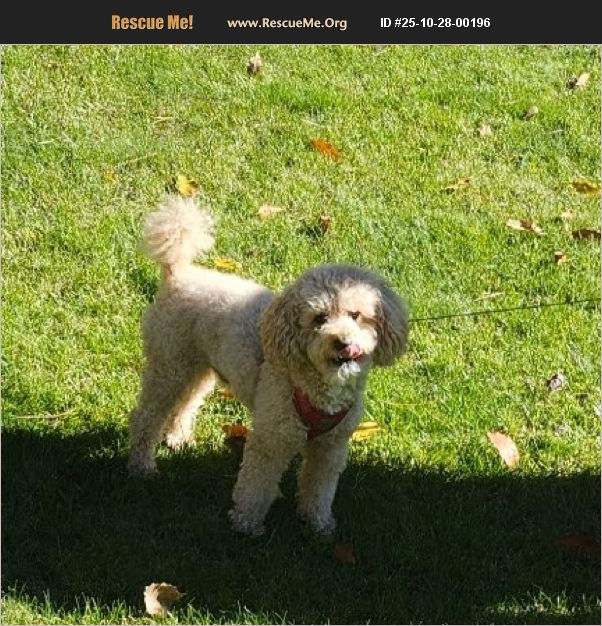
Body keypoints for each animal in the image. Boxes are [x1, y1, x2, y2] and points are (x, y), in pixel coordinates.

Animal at [128, 195, 409, 536]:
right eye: (319, 319)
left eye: (356, 315)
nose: (342, 343)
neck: (319, 387)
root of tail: (178, 273)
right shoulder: (271, 438)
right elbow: (256, 486)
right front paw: (247, 524)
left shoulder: (330, 448)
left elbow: (320, 489)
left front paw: (318, 524)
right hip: (169, 364)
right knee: (146, 416)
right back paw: (142, 465)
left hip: (199, 366)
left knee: (187, 401)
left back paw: (178, 436)